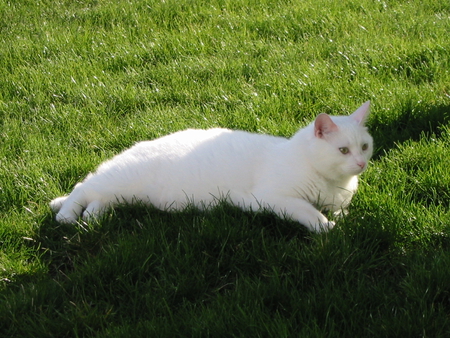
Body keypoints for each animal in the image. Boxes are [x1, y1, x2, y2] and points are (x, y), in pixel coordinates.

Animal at [50, 101, 372, 232]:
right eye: (343, 150)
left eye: (365, 146)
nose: (360, 162)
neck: (334, 184)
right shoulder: (272, 198)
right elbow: (308, 211)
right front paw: (325, 226)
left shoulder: (340, 202)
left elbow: (340, 211)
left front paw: (337, 219)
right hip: (120, 179)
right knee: (82, 188)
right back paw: (65, 215)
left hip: (122, 195)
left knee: (97, 200)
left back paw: (91, 218)